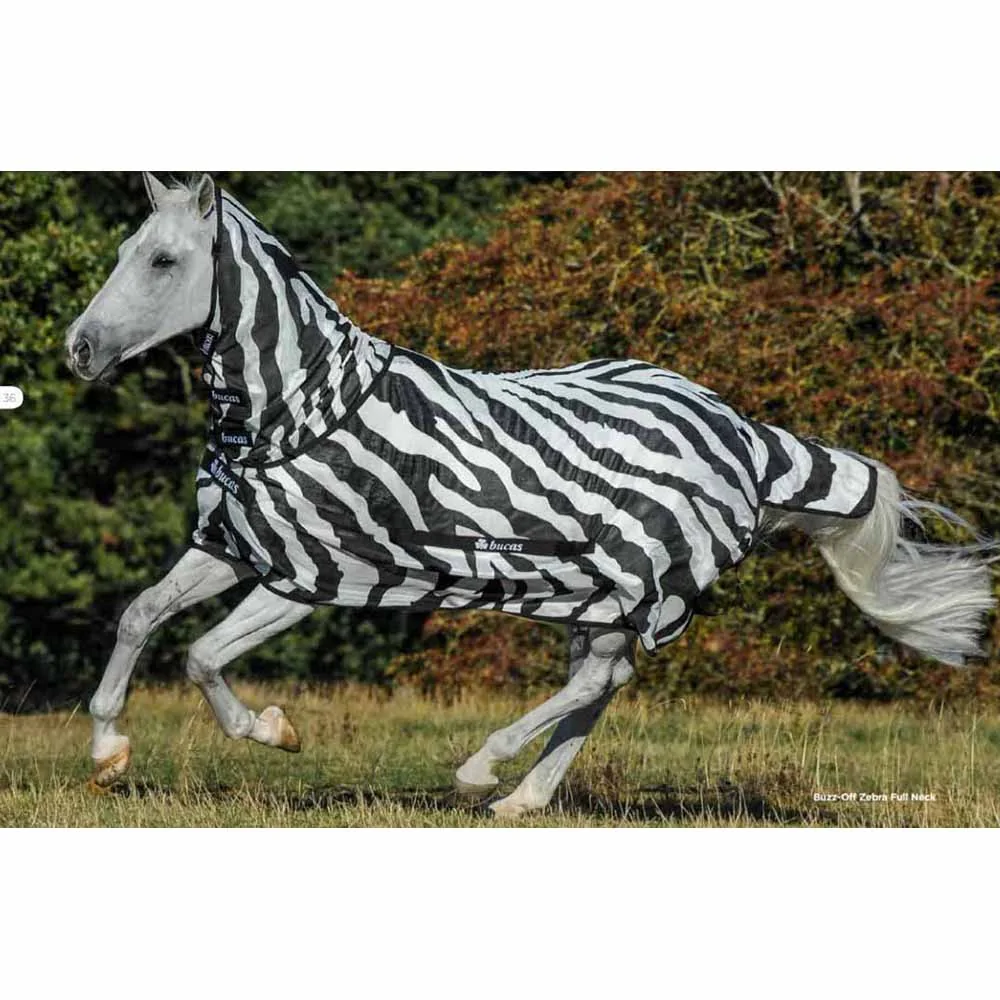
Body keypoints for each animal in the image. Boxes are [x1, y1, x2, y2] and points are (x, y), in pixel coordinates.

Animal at [65, 172, 997, 817]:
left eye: (163, 260)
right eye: (120, 253)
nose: (79, 349)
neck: (294, 409)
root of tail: (746, 434)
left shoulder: (316, 572)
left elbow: (201, 655)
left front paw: (274, 730)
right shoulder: (232, 546)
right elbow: (141, 618)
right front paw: (109, 751)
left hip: (639, 580)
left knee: (600, 680)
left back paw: (483, 769)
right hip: (599, 591)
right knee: (603, 682)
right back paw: (522, 798)